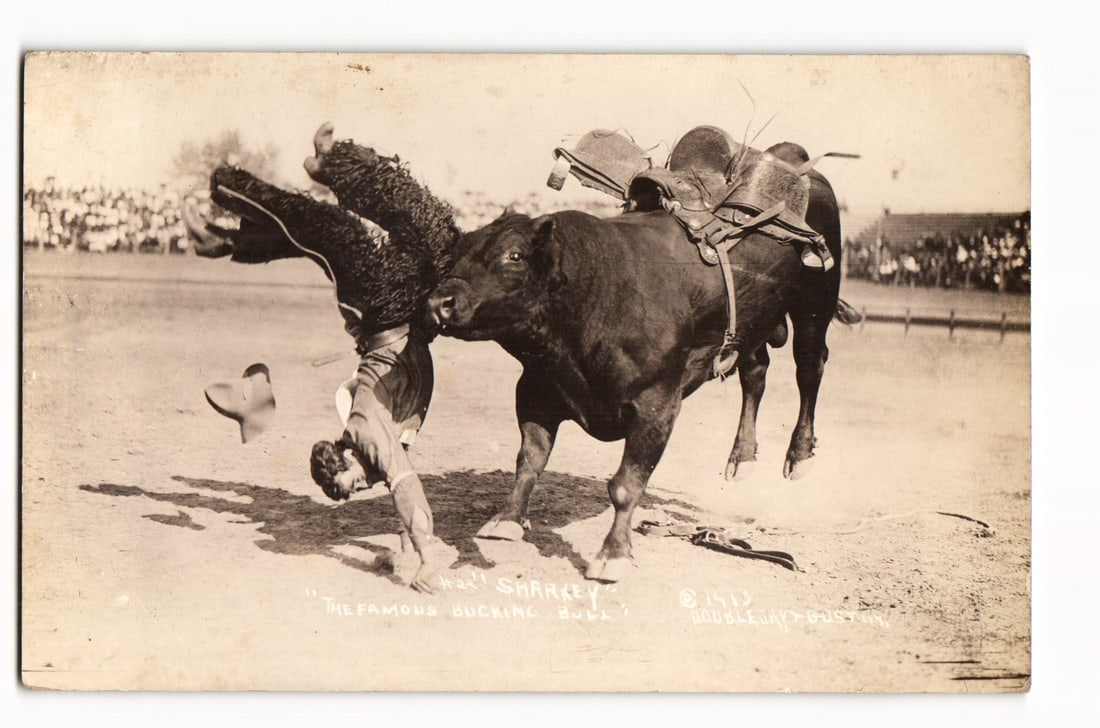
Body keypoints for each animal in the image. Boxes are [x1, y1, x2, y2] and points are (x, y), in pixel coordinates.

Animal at [426, 154, 856, 582]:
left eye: (513, 256)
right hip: (751, 322)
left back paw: (799, 455)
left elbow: (625, 485)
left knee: (809, 368)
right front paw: (508, 520)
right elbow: (529, 459)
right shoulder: (535, 388)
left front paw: (612, 554)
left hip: (815, 303)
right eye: (457, 251)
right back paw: (742, 457)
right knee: (755, 371)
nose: (438, 302)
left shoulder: (657, 404)